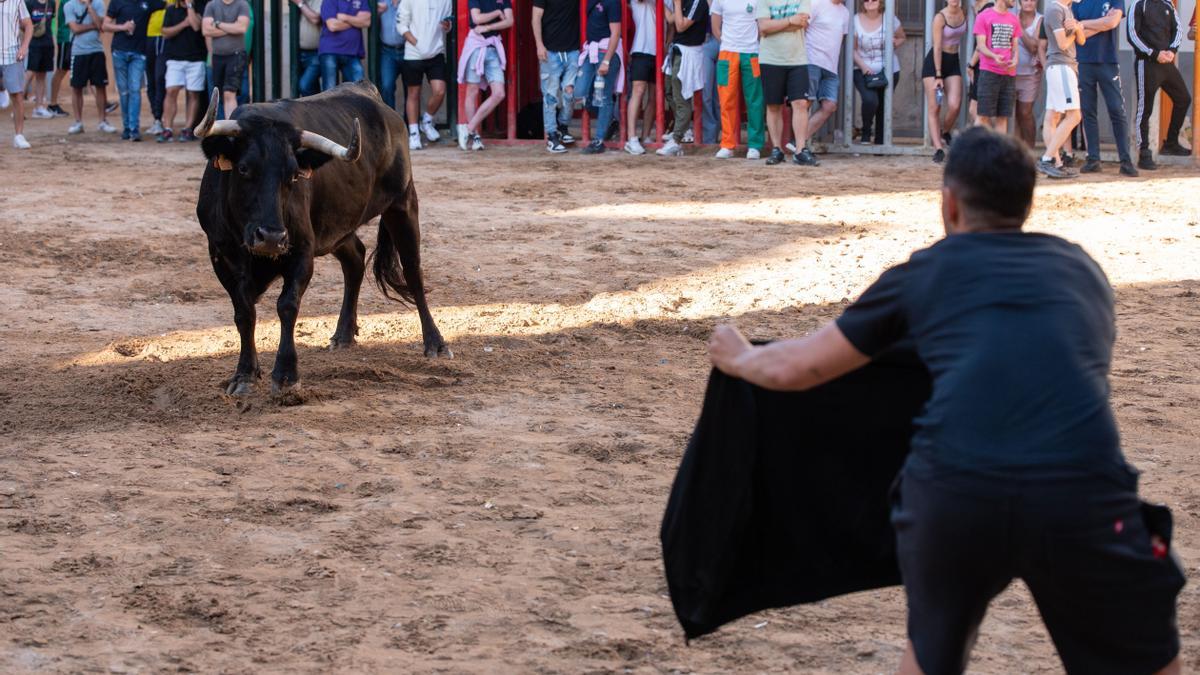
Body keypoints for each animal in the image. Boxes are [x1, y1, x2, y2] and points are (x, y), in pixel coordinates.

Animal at [196, 81, 451, 393]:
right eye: (243, 168)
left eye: (294, 175)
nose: (271, 237)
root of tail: (372, 95)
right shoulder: (221, 255)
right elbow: (244, 312)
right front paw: (244, 375)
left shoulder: (302, 252)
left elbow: (287, 305)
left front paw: (286, 375)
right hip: (336, 227)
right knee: (355, 259)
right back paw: (343, 335)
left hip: (402, 202)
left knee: (413, 271)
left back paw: (435, 343)